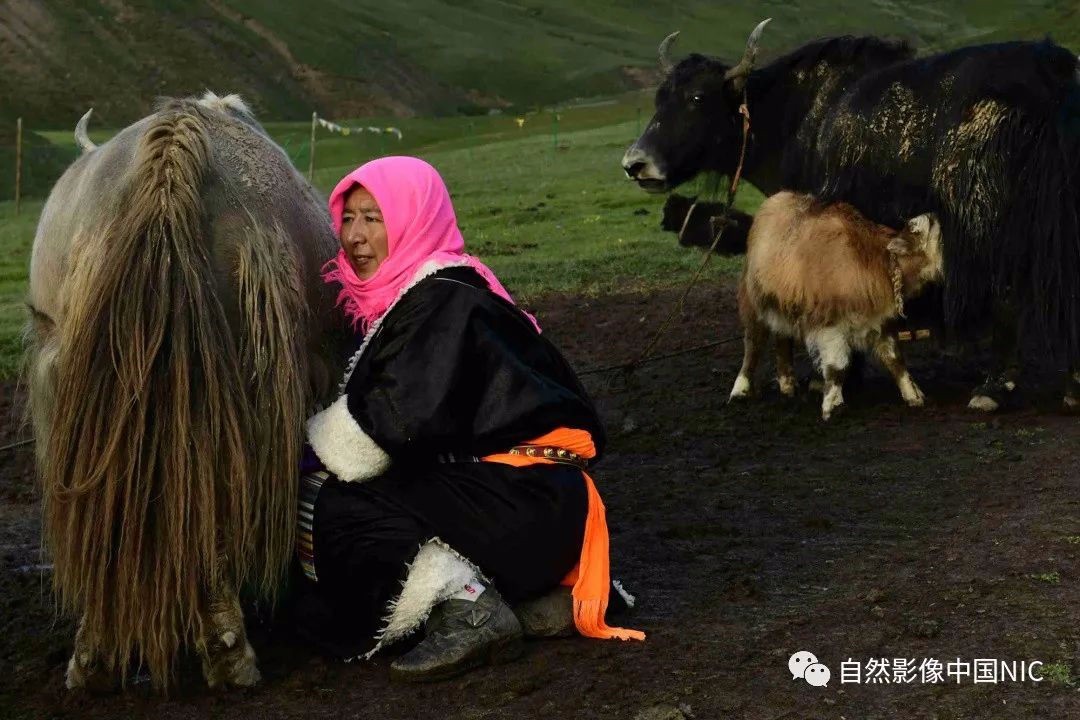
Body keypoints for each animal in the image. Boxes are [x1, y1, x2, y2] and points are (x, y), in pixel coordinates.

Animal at [730, 189, 941, 423]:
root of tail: (778, 197)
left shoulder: (881, 321)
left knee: (783, 338)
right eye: (920, 229)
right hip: (754, 302)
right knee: (753, 343)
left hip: (784, 306)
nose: (933, 214)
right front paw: (832, 406)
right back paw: (740, 390)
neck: (874, 262)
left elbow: (896, 360)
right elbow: (837, 367)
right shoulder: (829, 324)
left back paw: (787, 384)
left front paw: (913, 395)